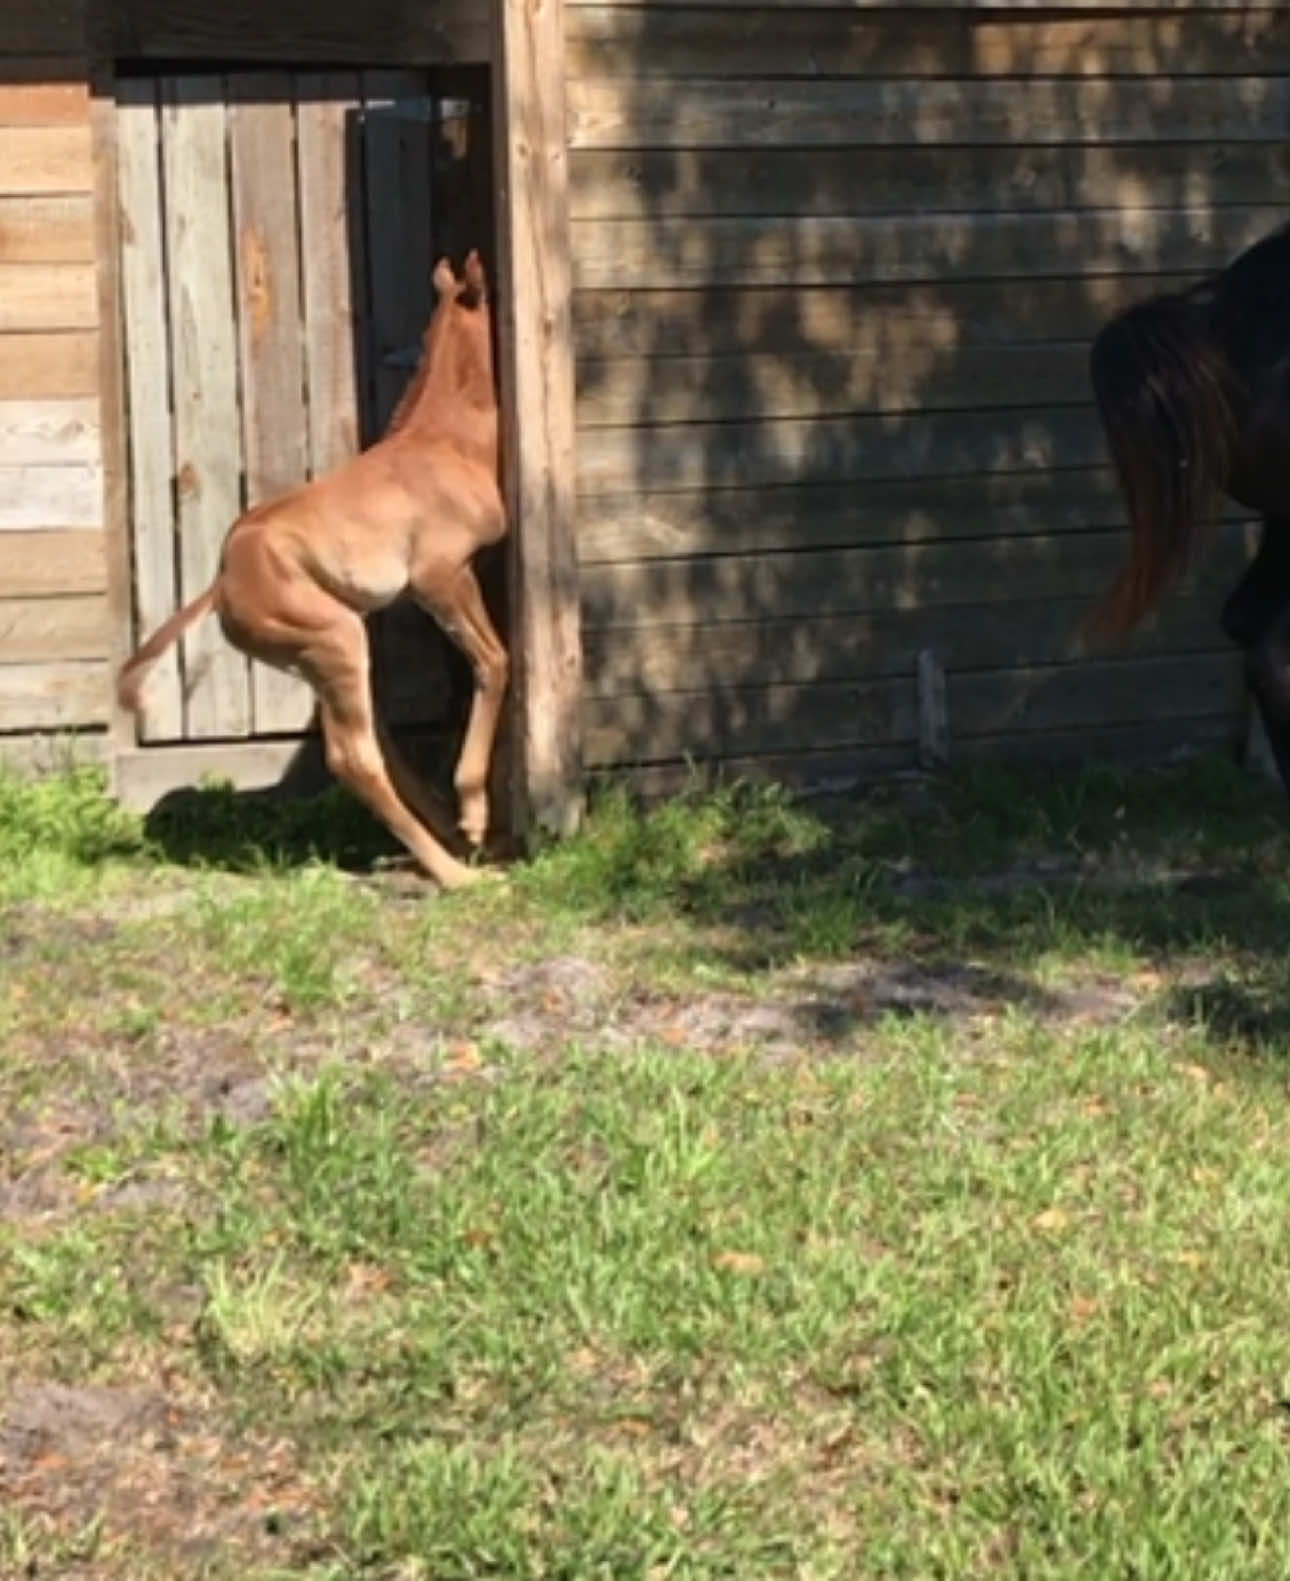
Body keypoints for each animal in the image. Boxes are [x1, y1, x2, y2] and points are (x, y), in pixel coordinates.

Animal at [118, 252, 505, 885]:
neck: (447, 440)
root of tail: (221, 585)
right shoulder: (440, 574)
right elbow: (495, 663)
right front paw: (475, 812)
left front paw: (465, 819)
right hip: (337, 636)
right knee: (353, 758)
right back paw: (454, 871)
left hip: (325, 647)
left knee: (371, 739)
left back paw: (440, 834)